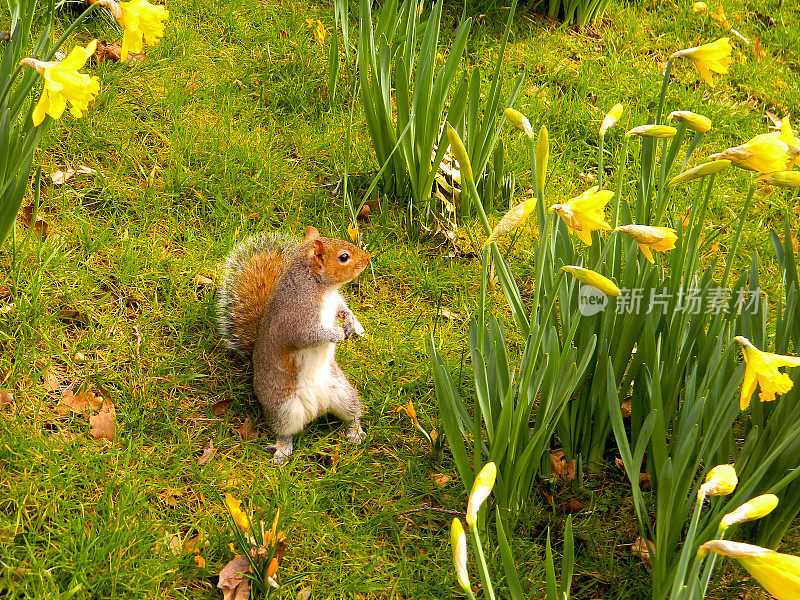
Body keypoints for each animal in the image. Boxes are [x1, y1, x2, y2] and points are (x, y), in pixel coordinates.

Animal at [217, 225, 370, 464]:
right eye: (344, 257)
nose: (367, 258)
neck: (321, 287)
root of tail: (319, 408)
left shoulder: (335, 301)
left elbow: (342, 308)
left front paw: (350, 322)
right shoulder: (296, 318)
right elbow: (306, 337)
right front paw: (335, 333)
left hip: (344, 393)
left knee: (351, 414)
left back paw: (354, 431)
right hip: (284, 408)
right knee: (285, 431)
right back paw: (282, 449)